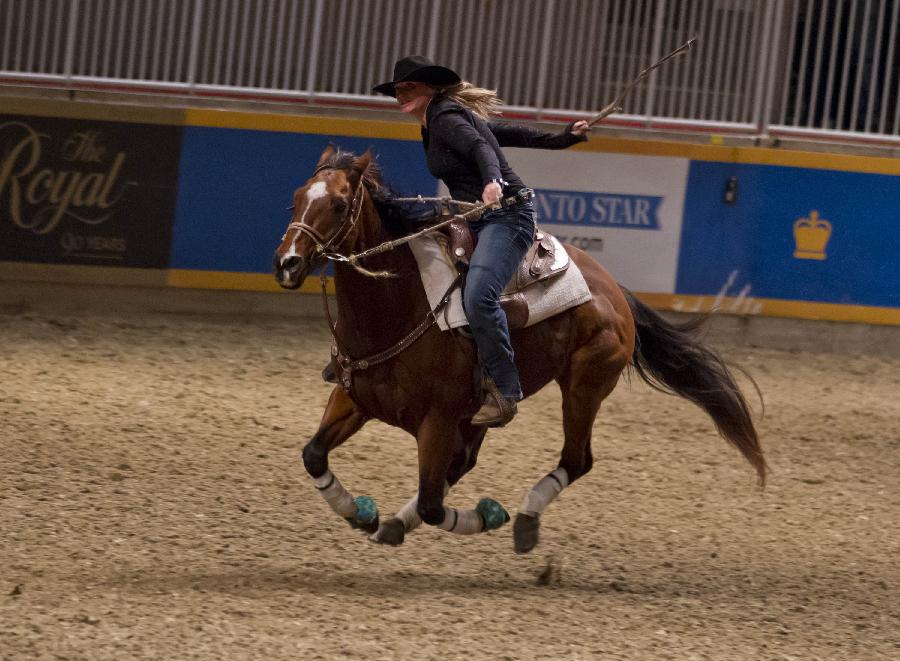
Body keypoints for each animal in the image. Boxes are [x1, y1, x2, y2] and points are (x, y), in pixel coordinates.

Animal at [272, 147, 768, 556]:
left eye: (339, 204)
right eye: (295, 198)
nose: (287, 264)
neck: (400, 304)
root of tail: (614, 290)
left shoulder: (437, 422)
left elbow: (433, 504)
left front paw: (489, 515)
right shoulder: (354, 398)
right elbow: (313, 454)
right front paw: (362, 513)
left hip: (584, 387)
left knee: (575, 460)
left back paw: (525, 520)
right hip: (486, 411)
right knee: (467, 462)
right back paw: (395, 524)